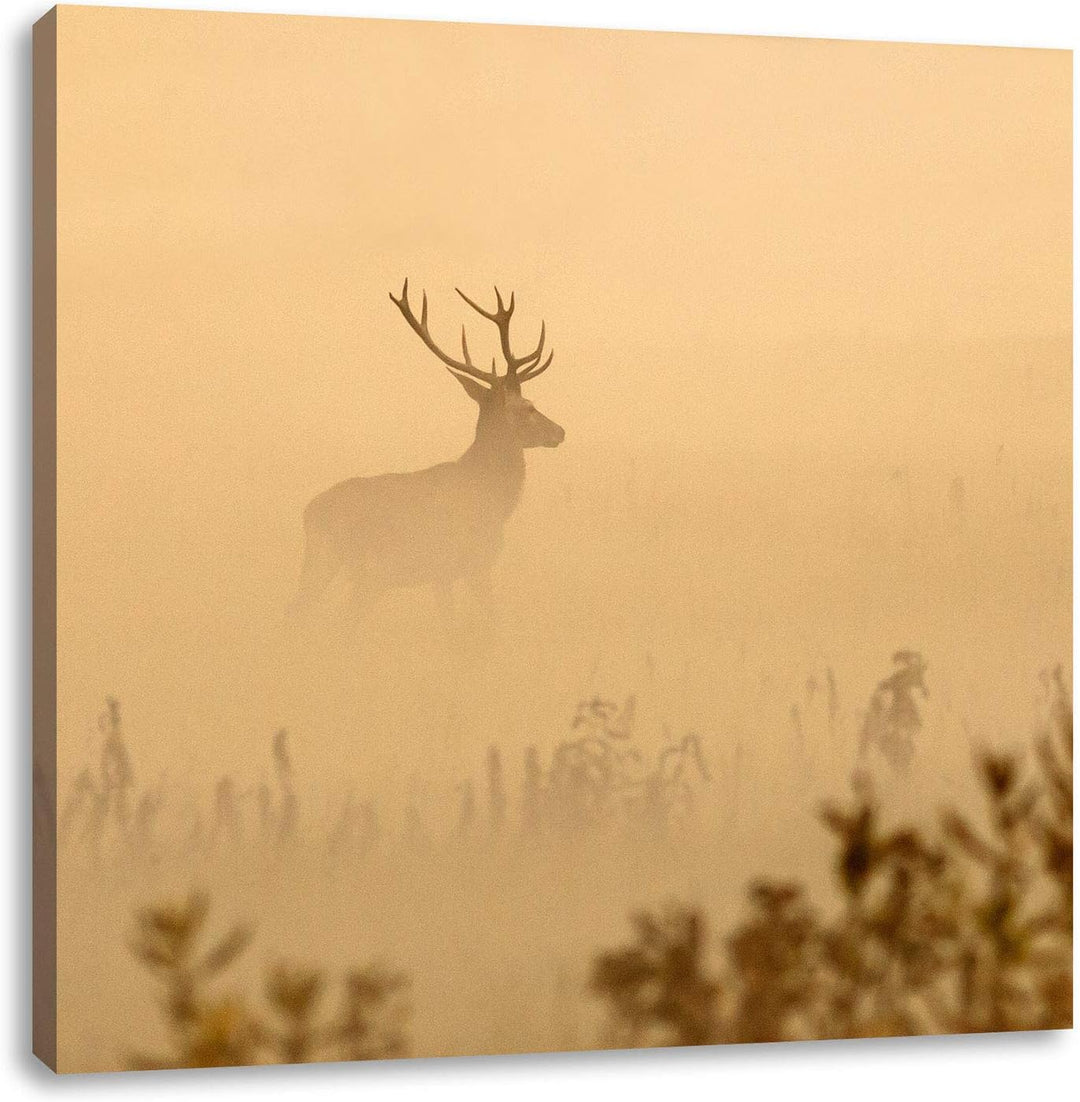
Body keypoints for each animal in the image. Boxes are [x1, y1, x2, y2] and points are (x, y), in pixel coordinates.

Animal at [288, 280, 565, 625]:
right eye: (529, 407)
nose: (560, 431)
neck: (491, 498)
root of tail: (309, 513)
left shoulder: (448, 574)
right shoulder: (466, 564)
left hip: (333, 566)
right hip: (360, 567)